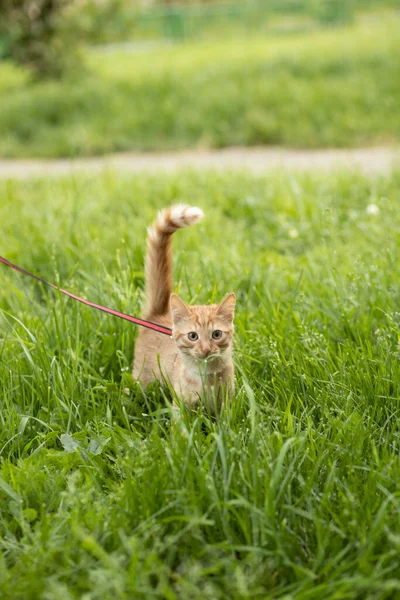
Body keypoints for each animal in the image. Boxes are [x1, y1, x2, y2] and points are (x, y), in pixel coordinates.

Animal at [133, 204, 236, 410]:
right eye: (193, 336)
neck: (206, 379)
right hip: (142, 378)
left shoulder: (226, 404)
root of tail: (158, 314)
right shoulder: (181, 404)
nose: (206, 349)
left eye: (216, 334)